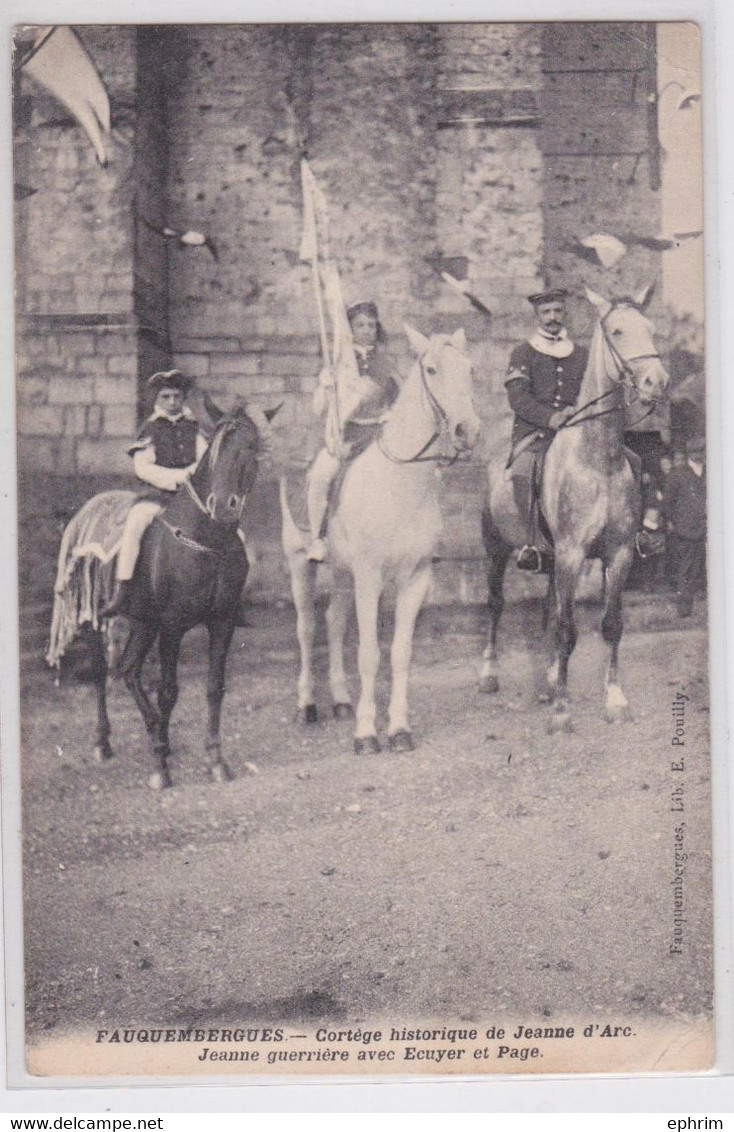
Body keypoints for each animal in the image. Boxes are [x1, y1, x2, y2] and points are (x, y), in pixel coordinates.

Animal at [48, 402, 278, 792]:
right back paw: (104, 743)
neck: (208, 541)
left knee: (128, 672)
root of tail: (85, 510)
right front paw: (160, 767)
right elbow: (169, 690)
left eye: (249, 447)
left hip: (143, 622)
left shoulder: (222, 622)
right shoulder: (173, 625)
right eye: (215, 450)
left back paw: (158, 736)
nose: (224, 506)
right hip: (98, 619)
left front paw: (214, 760)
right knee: (103, 674)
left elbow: (214, 688)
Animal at [280, 326, 482, 751]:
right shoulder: (370, 577)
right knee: (306, 628)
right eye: (431, 369)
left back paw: (341, 700)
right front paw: (366, 733)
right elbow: (370, 654)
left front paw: (400, 729)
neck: (400, 483)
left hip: (343, 573)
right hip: (300, 565)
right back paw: (307, 704)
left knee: (334, 622)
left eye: (470, 369)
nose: (467, 430)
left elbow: (400, 653)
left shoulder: (416, 577)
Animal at [482, 281, 670, 724]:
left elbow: (610, 624)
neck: (597, 460)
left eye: (650, 329)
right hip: (497, 549)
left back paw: (550, 680)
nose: (657, 382)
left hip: (552, 560)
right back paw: (489, 674)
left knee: (551, 609)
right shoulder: (571, 552)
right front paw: (563, 710)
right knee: (496, 605)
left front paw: (614, 699)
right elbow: (568, 629)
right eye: (617, 331)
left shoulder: (618, 554)